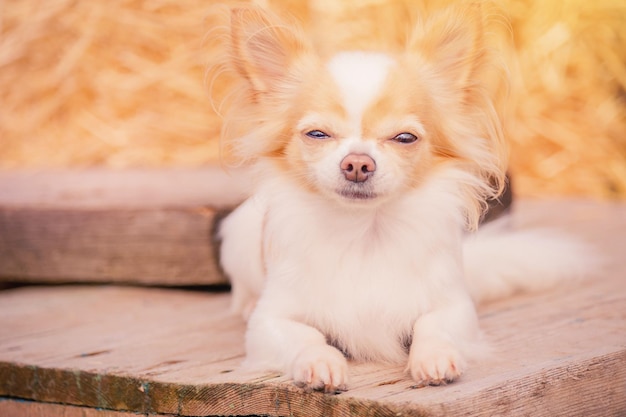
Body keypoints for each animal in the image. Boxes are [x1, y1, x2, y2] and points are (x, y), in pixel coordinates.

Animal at [212, 2, 588, 394]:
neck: (364, 233)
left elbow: (432, 326)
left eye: (404, 138)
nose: (357, 163)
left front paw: (435, 358)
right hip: (238, 235)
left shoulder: (455, 308)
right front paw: (318, 363)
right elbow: (304, 336)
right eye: (317, 134)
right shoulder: (268, 323)